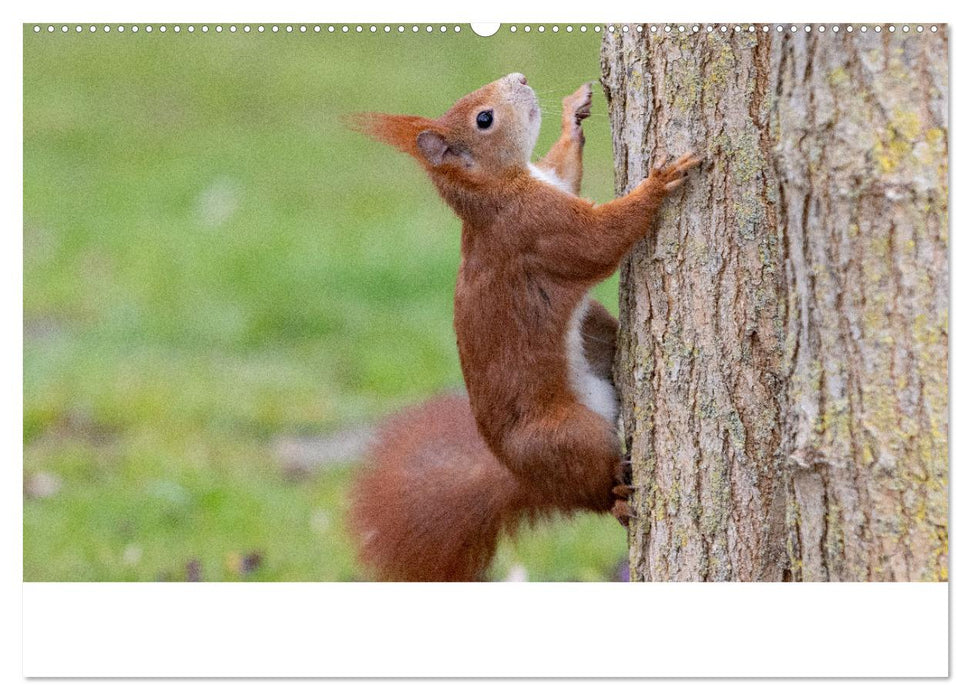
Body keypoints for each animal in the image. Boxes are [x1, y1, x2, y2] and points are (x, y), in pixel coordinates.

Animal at [350, 74, 700, 584]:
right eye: (484, 119)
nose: (519, 79)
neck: (495, 193)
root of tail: (526, 478)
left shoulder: (550, 183)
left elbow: (564, 168)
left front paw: (573, 114)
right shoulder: (537, 229)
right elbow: (600, 240)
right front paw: (656, 184)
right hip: (566, 436)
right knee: (594, 489)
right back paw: (617, 500)